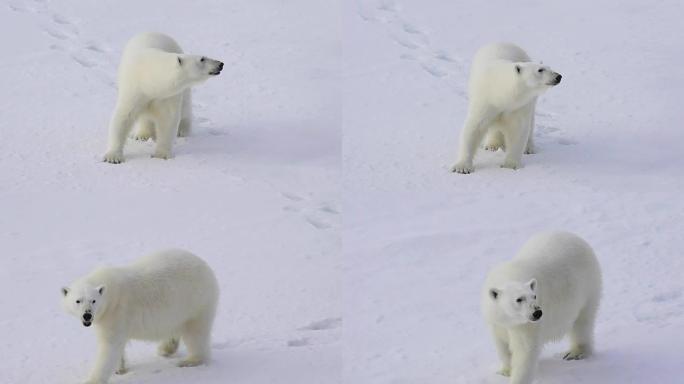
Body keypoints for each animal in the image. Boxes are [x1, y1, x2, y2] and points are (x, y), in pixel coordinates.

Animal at [61, 249, 218, 384]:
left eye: (93, 301)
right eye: (78, 301)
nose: (87, 315)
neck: (110, 292)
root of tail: (207, 268)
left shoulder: (115, 312)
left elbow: (109, 346)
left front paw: (92, 380)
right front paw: (119, 369)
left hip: (196, 301)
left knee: (195, 333)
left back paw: (190, 360)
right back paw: (166, 349)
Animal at [103, 33, 223, 164]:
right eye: (202, 59)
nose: (220, 64)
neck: (150, 79)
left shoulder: (168, 95)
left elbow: (168, 119)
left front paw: (161, 155)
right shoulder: (135, 89)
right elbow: (123, 116)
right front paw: (113, 157)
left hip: (183, 91)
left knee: (185, 108)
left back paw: (183, 131)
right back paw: (142, 135)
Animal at [448, 42, 560, 173]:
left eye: (550, 68)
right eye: (540, 70)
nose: (558, 76)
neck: (501, 92)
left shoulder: (519, 106)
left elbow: (518, 130)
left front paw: (510, 165)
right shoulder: (485, 100)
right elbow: (475, 126)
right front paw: (461, 167)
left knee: (531, 122)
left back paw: (529, 148)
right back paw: (492, 145)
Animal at [484, 231, 600, 384]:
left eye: (534, 296)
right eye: (519, 299)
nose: (537, 312)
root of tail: (575, 237)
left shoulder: (527, 325)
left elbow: (525, 351)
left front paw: (517, 379)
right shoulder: (496, 320)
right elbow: (502, 344)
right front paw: (505, 371)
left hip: (588, 287)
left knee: (582, 321)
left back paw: (575, 352)